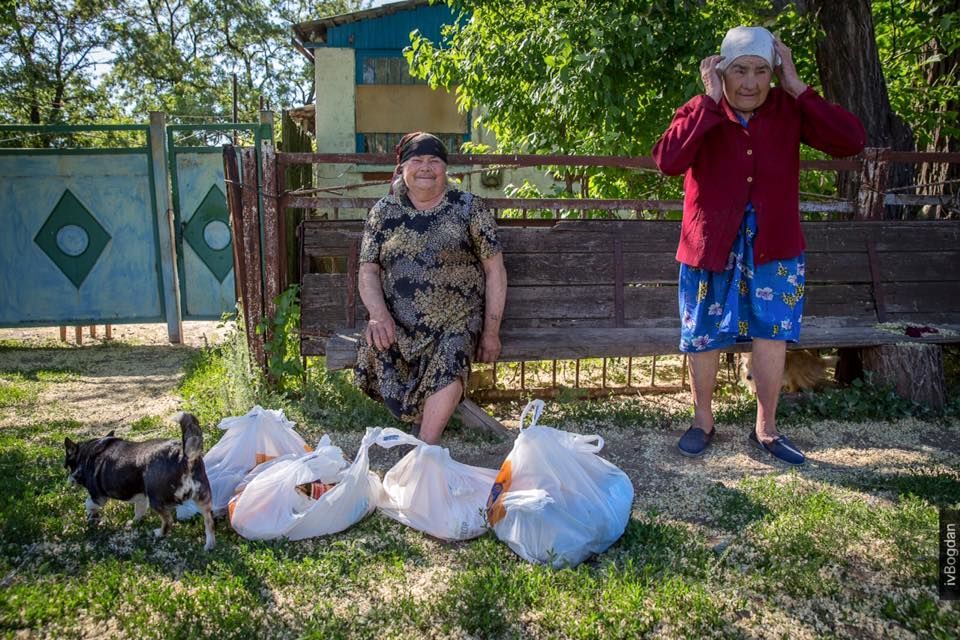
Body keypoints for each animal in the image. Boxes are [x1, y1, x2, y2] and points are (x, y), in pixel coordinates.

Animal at [65, 416, 218, 552]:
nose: (69, 481)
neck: (87, 454)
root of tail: (184, 457)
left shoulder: (98, 497)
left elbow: (88, 503)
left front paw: (92, 516)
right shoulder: (141, 498)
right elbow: (139, 511)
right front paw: (133, 523)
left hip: (156, 500)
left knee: (168, 521)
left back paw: (159, 533)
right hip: (203, 499)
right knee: (209, 522)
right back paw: (209, 545)